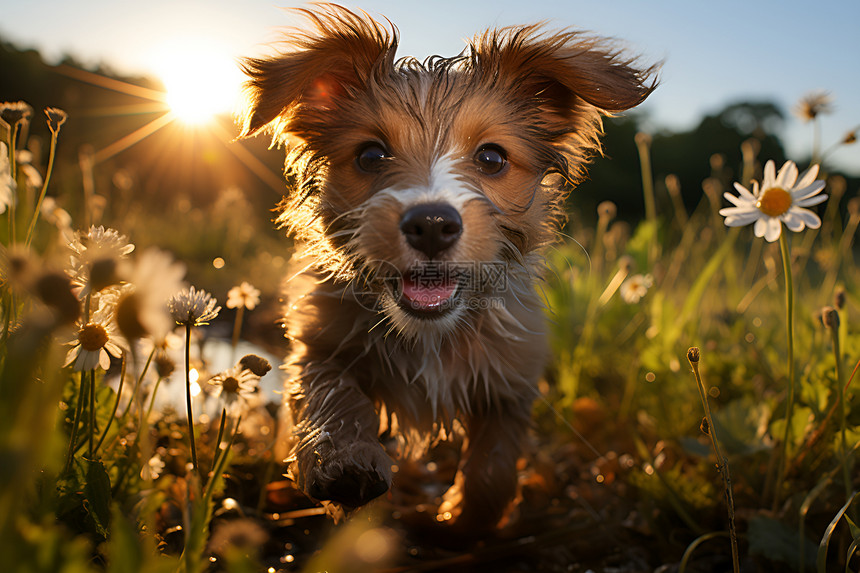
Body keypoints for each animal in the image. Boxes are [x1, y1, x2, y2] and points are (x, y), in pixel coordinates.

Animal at [239, 3, 656, 532]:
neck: (429, 334)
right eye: (370, 155)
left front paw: (465, 519)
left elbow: (494, 464)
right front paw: (346, 463)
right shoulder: (318, 346)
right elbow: (333, 397)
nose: (432, 224)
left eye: (492, 157)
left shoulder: (512, 380)